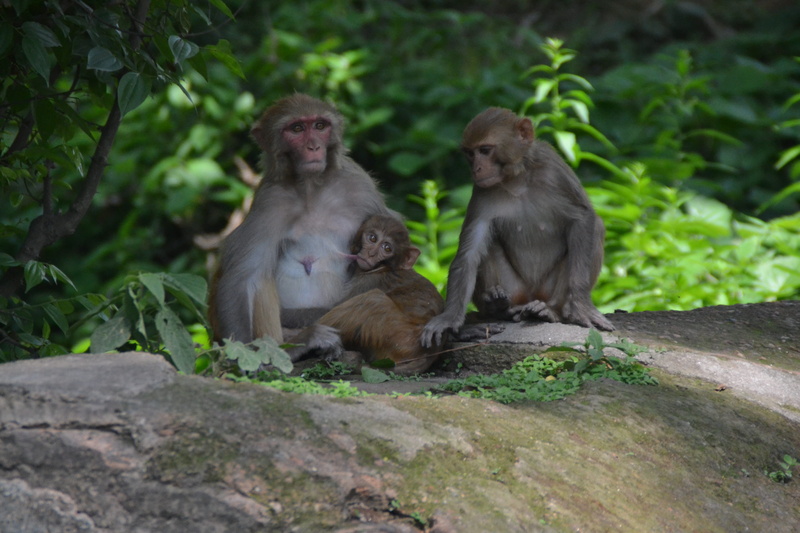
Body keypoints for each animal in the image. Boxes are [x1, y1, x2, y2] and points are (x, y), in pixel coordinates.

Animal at [208, 94, 391, 344]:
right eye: (296, 129)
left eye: (320, 126)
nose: (313, 146)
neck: (311, 188)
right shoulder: (269, 201)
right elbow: (242, 277)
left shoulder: (360, 186)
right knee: (259, 278)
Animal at [287, 214, 446, 374]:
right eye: (372, 238)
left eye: (387, 248)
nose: (371, 253)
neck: (384, 267)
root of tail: (428, 354)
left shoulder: (369, 281)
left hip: (400, 339)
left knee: (373, 299)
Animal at [421, 107, 614, 348]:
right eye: (470, 153)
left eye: (485, 150)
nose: (476, 168)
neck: (517, 178)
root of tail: (530, 296)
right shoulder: (481, 191)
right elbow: (469, 254)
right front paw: (448, 318)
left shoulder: (554, 169)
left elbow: (583, 217)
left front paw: (580, 305)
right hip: (515, 289)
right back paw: (499, 307)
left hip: (547, 290)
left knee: (596, 227)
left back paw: (549, 311)